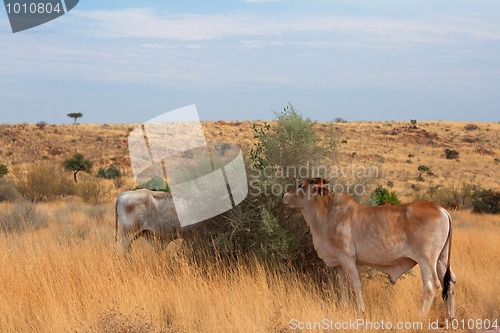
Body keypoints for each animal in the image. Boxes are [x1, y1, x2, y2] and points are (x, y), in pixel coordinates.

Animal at [284, 178, 456, 318]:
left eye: (300, 185)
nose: (284, 196)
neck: (327, 213)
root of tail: (442, 210)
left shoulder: (348, 259)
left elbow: (356, 284)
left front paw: (361, 310)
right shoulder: (339, 264)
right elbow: (343, 286)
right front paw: (344, 308)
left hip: (426, 260)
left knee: (431, 285)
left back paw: (421, 315)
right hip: (441, 260)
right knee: (450, 281)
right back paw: (450, 316)